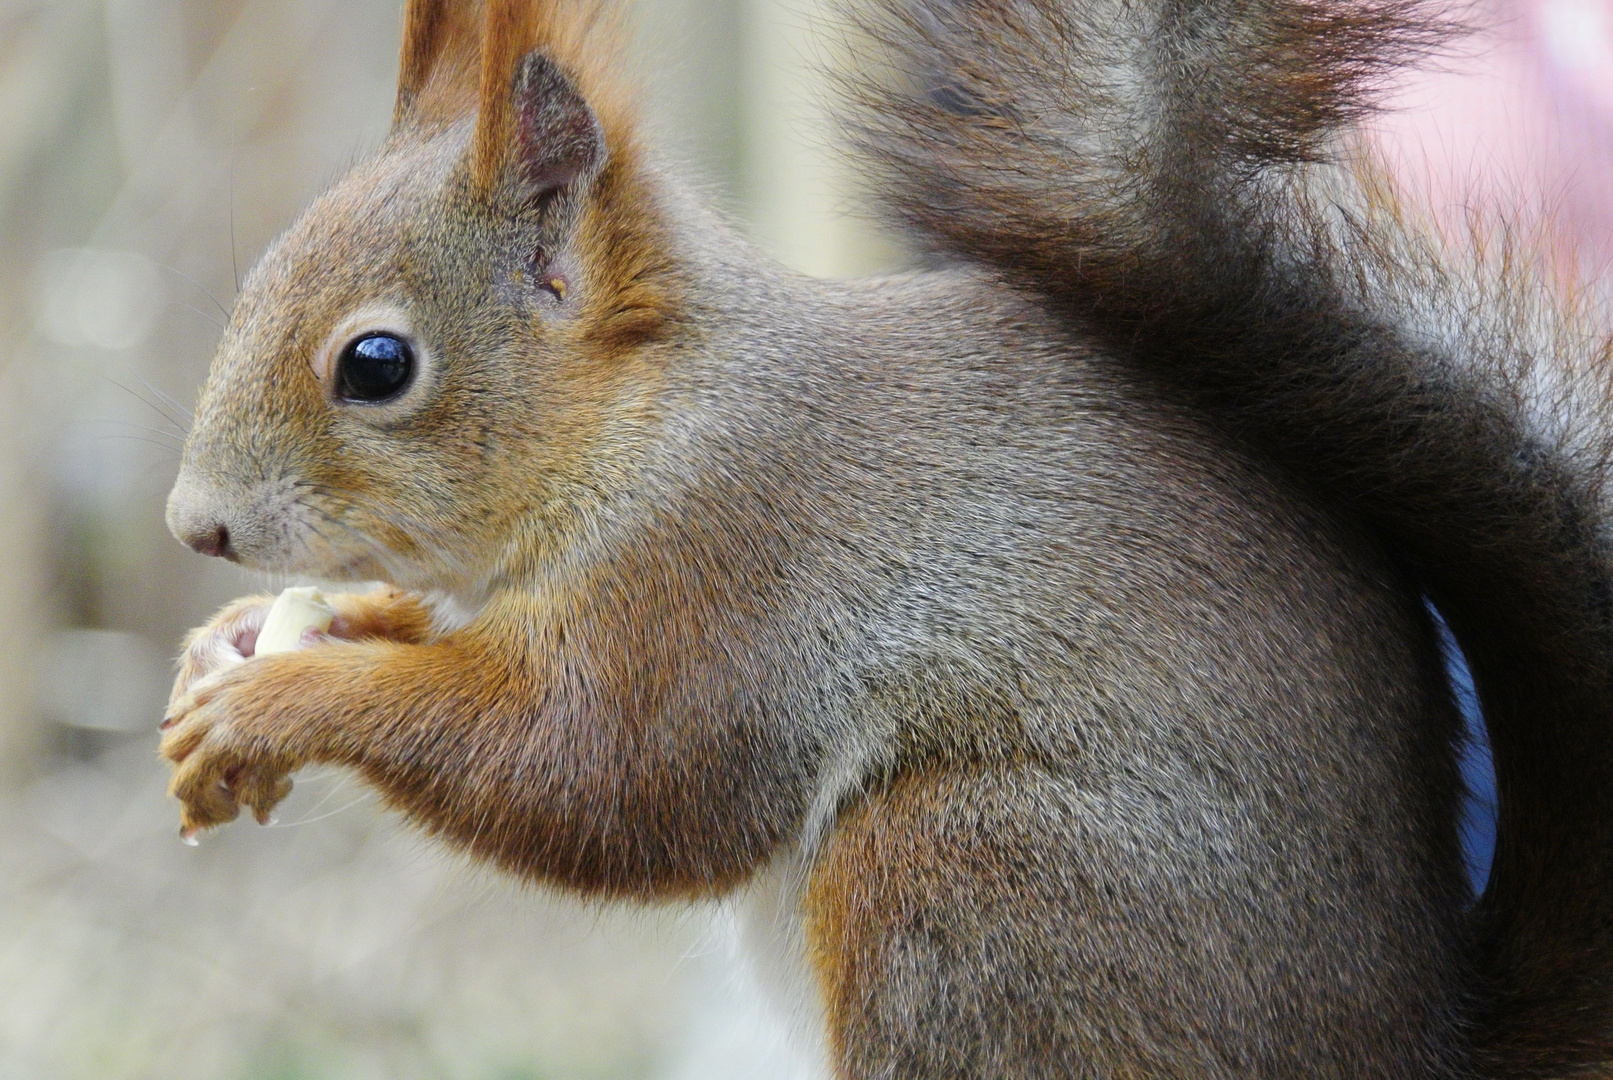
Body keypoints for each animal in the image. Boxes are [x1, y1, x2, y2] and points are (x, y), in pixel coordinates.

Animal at [154, 0, 1613, 1076]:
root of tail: (1416, 1041)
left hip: (969, 879)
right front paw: (245, 645)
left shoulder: (727, 568)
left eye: (378, 364)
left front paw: (285, 696)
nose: (194, 527)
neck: (644, 421)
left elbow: (600, 774)